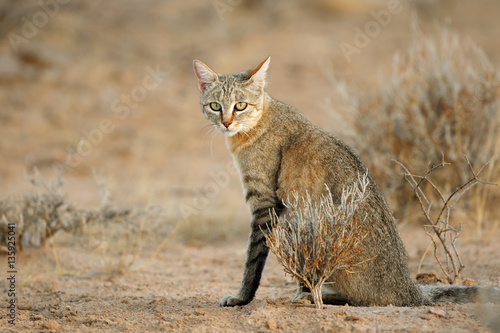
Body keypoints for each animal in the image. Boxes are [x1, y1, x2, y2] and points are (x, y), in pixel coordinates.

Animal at [192, 55, 500, 304]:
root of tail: (408, 287)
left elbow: (252, 262)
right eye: (215, 106)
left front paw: (241, 298)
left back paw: (313, 297)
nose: (226, 123)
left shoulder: (264, 205)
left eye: (241, 105)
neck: (258, 123)